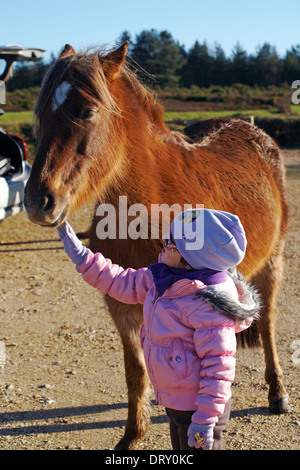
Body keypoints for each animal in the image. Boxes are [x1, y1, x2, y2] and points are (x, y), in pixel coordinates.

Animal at [25, 43, 290, 448]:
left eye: (87, 111)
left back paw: (277, 393)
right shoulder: (120, 305)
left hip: (272, 263)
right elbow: (136, 371)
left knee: (269, 325)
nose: (38, 202)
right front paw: (132, 435)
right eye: (40, 115)